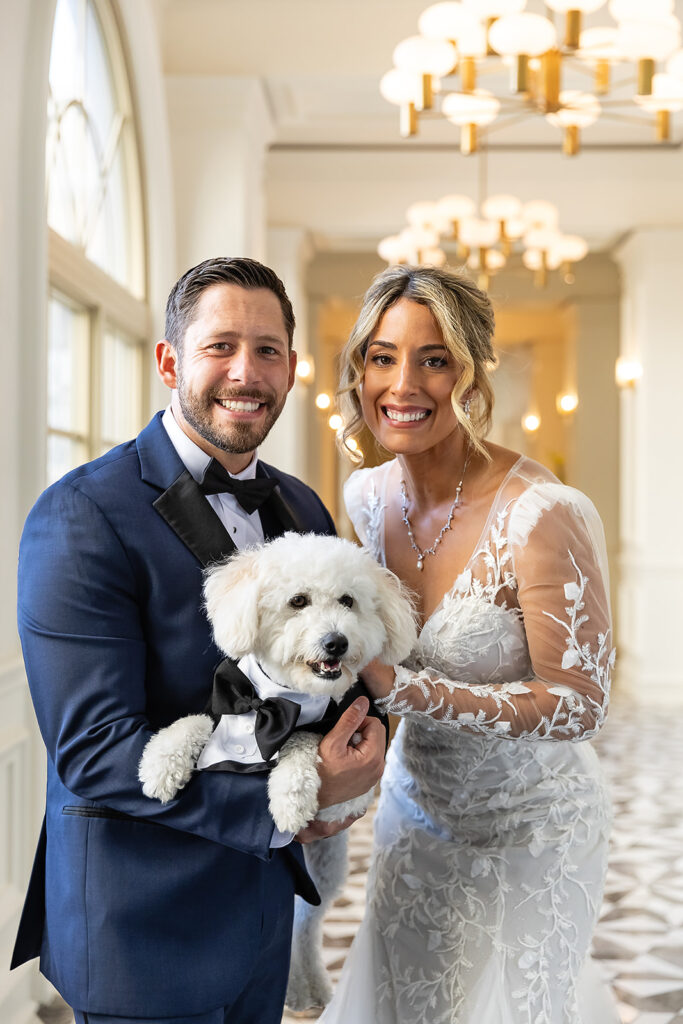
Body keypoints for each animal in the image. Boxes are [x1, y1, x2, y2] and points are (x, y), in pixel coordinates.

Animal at [137, 532, 417, 1011]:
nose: (336, 642)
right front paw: (161, 762)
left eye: (348, 601)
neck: (275, 700)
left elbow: (302, 742)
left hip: (327, 866)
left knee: (306, 922)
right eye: (298, 601)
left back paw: (308, 987)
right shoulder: (224, 705)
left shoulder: (353, 778)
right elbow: (194, 723)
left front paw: (290, 798)